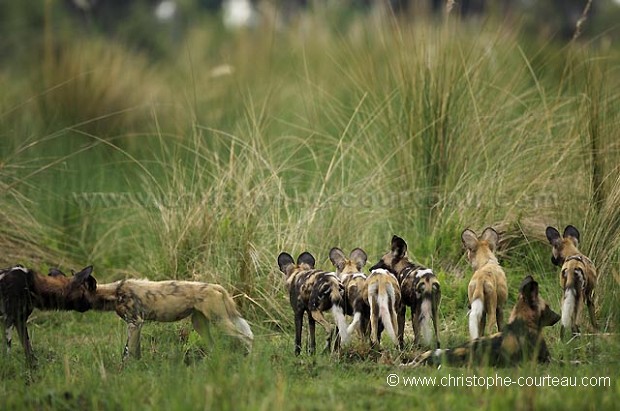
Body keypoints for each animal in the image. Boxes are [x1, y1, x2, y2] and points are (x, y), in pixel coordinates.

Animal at [90, 280, 254, 360]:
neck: (113, 292)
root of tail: (215, 286)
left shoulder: (135, 324)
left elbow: (128, 353)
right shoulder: (135, 326)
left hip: (219, 321)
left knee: (247, 338)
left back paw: (249, 359)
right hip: (199, 323)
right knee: (214, 345)